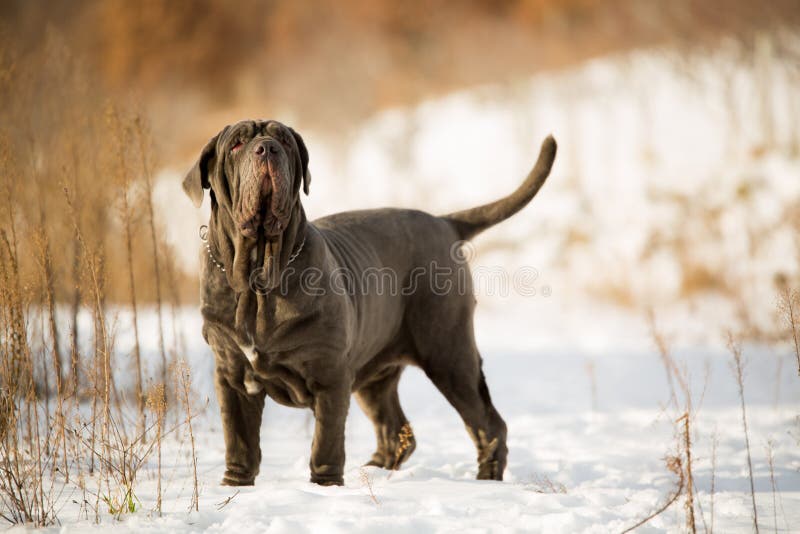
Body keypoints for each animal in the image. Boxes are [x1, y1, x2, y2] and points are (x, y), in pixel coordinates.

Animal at [182, 119, 556, 488]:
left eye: (284, 141)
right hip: (376, 373)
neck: (258, 279)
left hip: (449, 354)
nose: (267, 148)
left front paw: (324, 487)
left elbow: (325, 442)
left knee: (487, 424)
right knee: (396, 430)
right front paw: (235, 485)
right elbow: (239, 440)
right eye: (236, 144)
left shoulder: (330, 377)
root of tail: (444, 222)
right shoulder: (232, 376)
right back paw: (374, 471)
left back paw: (486, 480)